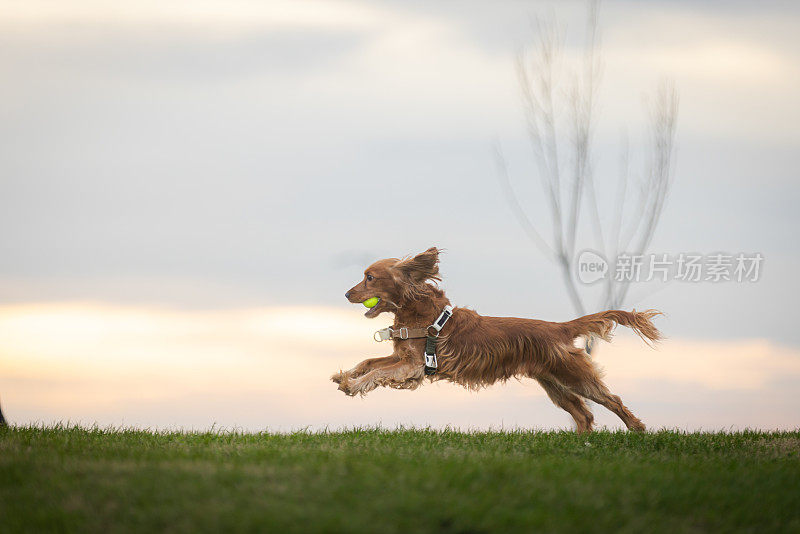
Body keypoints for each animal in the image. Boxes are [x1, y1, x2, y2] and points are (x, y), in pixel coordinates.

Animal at [332, 249, 664, 434]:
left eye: (370, 277)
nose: (346, 294)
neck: (421, 312)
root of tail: (559, 328)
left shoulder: (412, 365)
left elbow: (377, 372)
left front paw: (353, 385)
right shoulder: (403, 358)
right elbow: (369, 362)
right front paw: (346, 376)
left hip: (574, 376)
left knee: (612, 400)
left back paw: (637, 428)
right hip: (554, 383)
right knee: (584, 413)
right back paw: (580, 443)